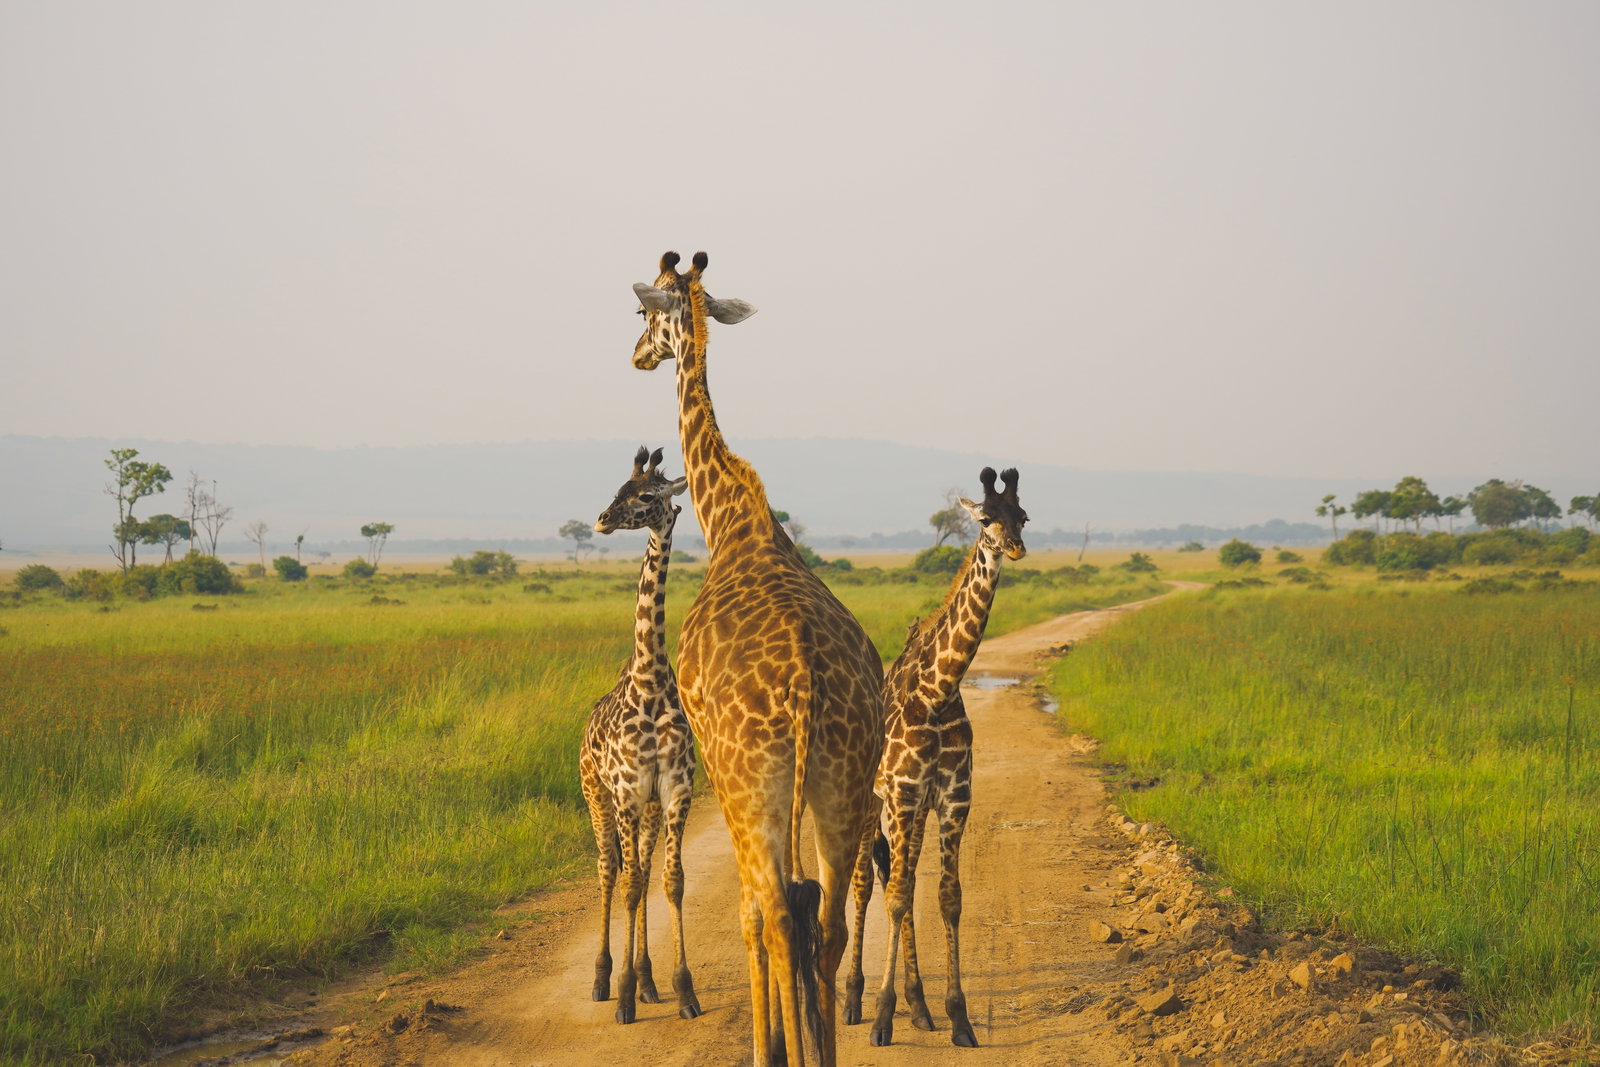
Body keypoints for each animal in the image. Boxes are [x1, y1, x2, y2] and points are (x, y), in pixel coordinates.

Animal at [631, 251, 885, 1067]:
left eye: (642, 313)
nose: (638, 354)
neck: (731, 520)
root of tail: (804, 690)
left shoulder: (715, 772)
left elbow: (747, 915)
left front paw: (766, 1045)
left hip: (755, 787)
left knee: (774, 912)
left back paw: (786, 1052)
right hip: (843, 784)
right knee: (825, 920)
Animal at [842, 467, 1029, 1048]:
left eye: (1023, 515)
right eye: (985, 518)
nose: (1015, 547)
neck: (938, 691)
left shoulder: (951, 798)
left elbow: (946, 896)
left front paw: (958, 1017)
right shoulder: (903, 794)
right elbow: (898, 894)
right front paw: (881, 1017)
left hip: (913, 813)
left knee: (894, 881)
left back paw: (919, 1005)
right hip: (871, 805)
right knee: (866, 885)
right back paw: (854, 999)